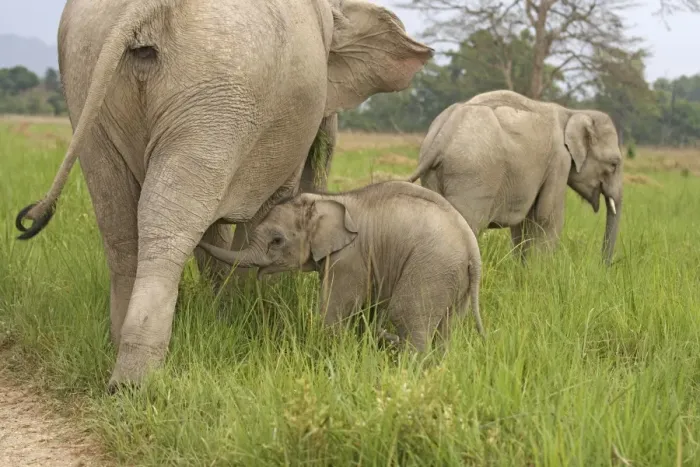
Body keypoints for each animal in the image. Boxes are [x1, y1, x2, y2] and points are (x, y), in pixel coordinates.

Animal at [14, 0, 433, 390]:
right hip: (217, 91)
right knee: (169, 220)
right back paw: (137, 381)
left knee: (119, 220)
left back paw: (118, 360)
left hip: (90, 80)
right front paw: (252, 317)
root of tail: (144, 10)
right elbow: (265, 211)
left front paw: (226, 316)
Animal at [198, 180, 485, 351]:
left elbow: (334, 309)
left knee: (407, 316)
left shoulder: (350, 257)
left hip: (431, 267)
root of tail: (472, 248)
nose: (199, 241)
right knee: (445, 326)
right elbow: (366, 308)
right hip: (452, 278)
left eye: (277, 240)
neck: (326, 200)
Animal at [406, 90, 623, 265]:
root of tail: (444, 133)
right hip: (472, 175)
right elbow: (548, 216)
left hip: (436, 174)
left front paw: (523, 271)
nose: (604, 266)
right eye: (614, 164)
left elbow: (524, 221)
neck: (572, 113)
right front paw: (541, 272)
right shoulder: (559, 160)